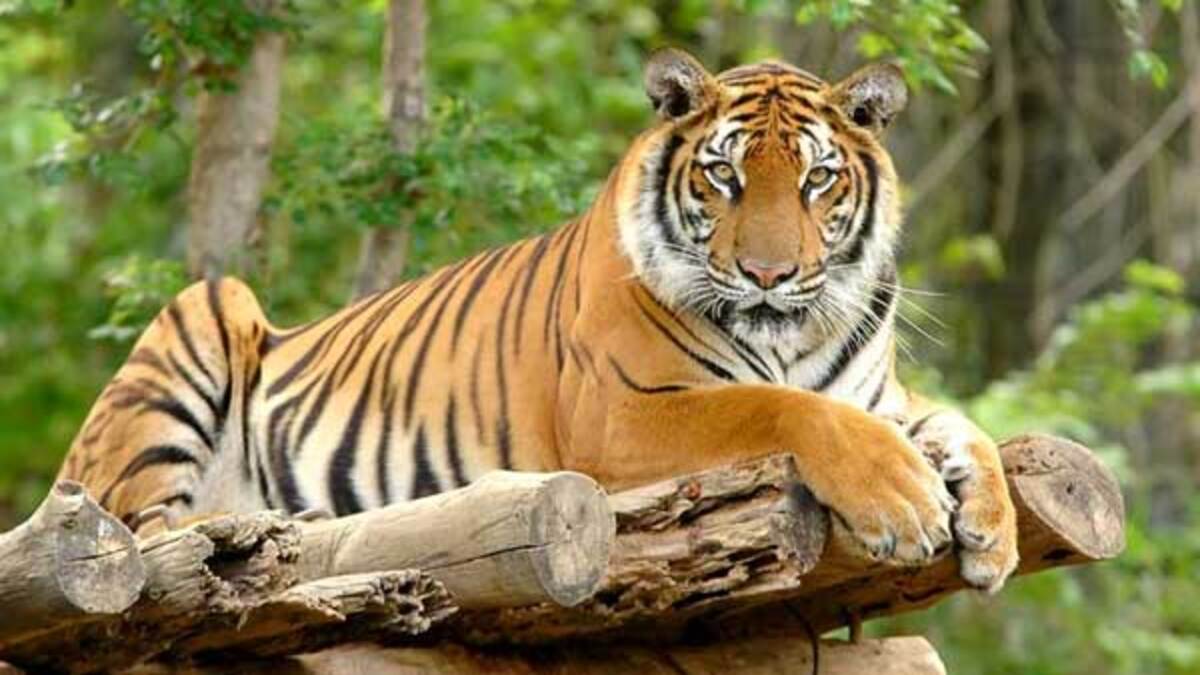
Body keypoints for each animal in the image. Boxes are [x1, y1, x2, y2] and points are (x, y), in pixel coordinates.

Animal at [58, 48, 1019, 591]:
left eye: (818, 179)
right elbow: (779, 406)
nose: (769, 274)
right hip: (203, 317)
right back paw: (270, 524)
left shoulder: (880, 396)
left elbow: (963, 425)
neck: (792, 334)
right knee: (144, 529)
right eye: (725, 176)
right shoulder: (623, 415)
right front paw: (904, 501)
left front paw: (994, 528)